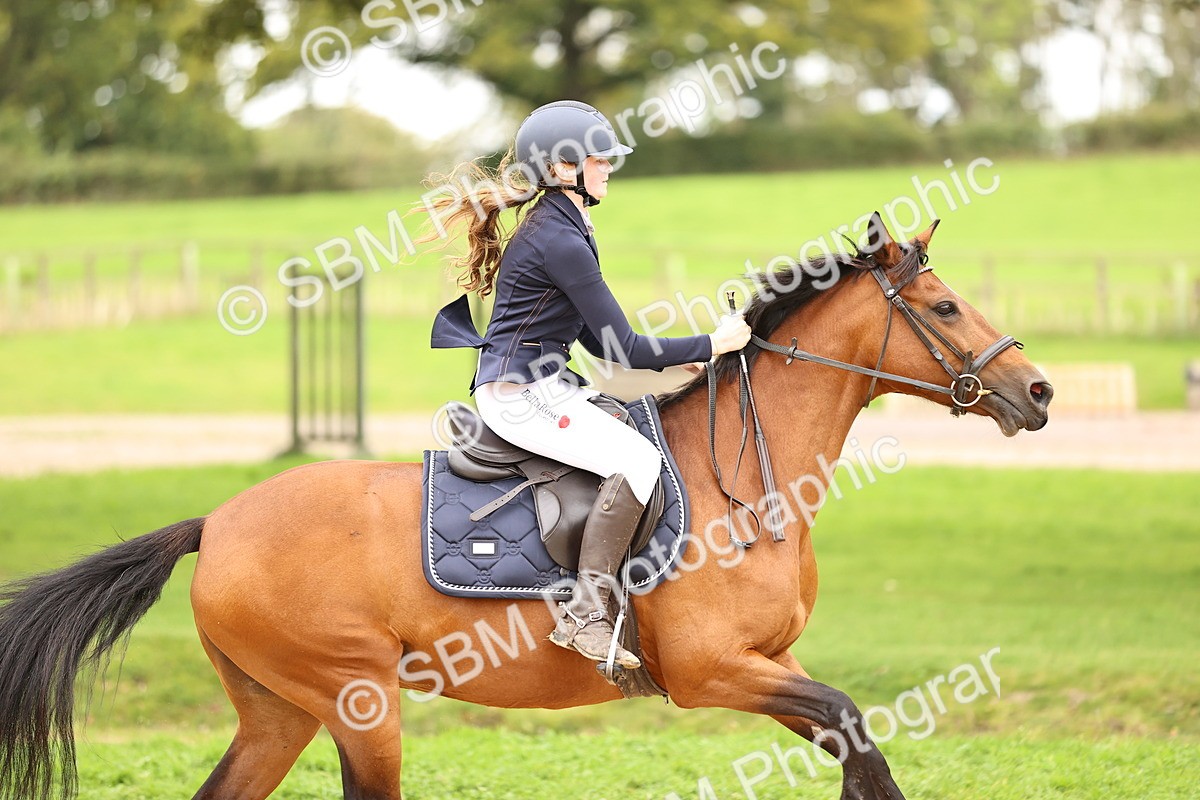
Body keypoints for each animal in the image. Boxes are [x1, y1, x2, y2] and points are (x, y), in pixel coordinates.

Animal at [0, 214, 1052, 800]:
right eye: (946, 308)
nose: (1038, 392)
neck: (749, 478)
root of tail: (214, 522)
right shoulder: (713, 671)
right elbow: (854, 729)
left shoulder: (771, 663)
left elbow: (852, 738)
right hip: (359, 706)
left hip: (278, 713)